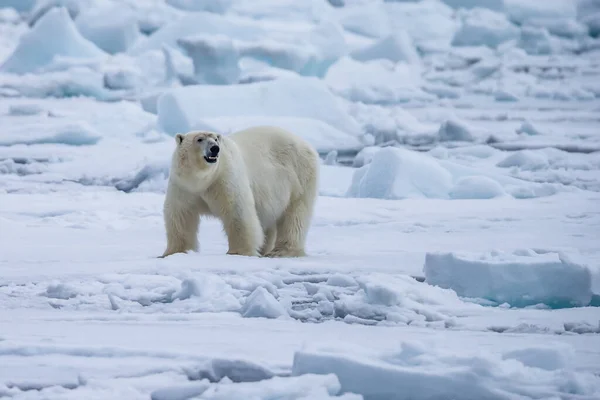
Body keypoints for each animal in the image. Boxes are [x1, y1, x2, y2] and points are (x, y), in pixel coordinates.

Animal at [159, 126, 318, 260]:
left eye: (215, 139)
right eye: (199, 139)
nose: (215, 149)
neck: (202, 180)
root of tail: (307, 145)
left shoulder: (225, 177)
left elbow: (237, 211)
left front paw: (238, 252)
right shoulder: (183, 186)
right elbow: (181, 216)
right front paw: (172, 252)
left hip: (300, 176)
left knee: (295, 216)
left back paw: (281, 251)